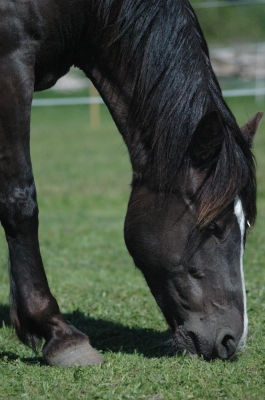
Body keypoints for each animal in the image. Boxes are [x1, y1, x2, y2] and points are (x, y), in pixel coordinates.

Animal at [0, 0, 260, 366]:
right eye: (213, 227)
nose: (230, 342)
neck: (84, 11)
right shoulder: (11, 63)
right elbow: (19, 200)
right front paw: (59, 334)